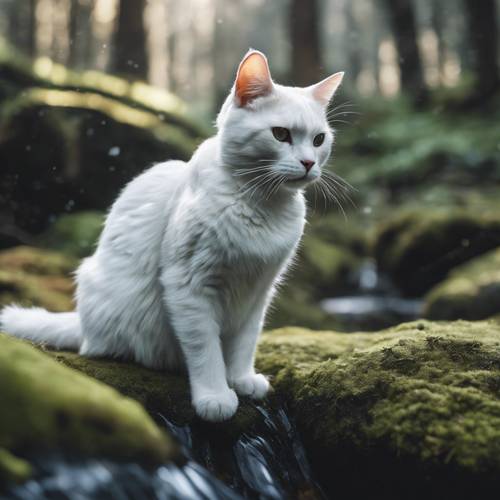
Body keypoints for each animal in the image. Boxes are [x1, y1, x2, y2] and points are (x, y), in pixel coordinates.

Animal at [0, 50, 342, 420]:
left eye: (319, 140)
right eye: (280, 134)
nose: (308, 163)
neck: (261, 204)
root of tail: (83, 324)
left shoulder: (258, 291)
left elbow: (244, 342)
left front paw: (241, 379)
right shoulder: (189, 286)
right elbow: (205, 348)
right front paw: (215, 395)